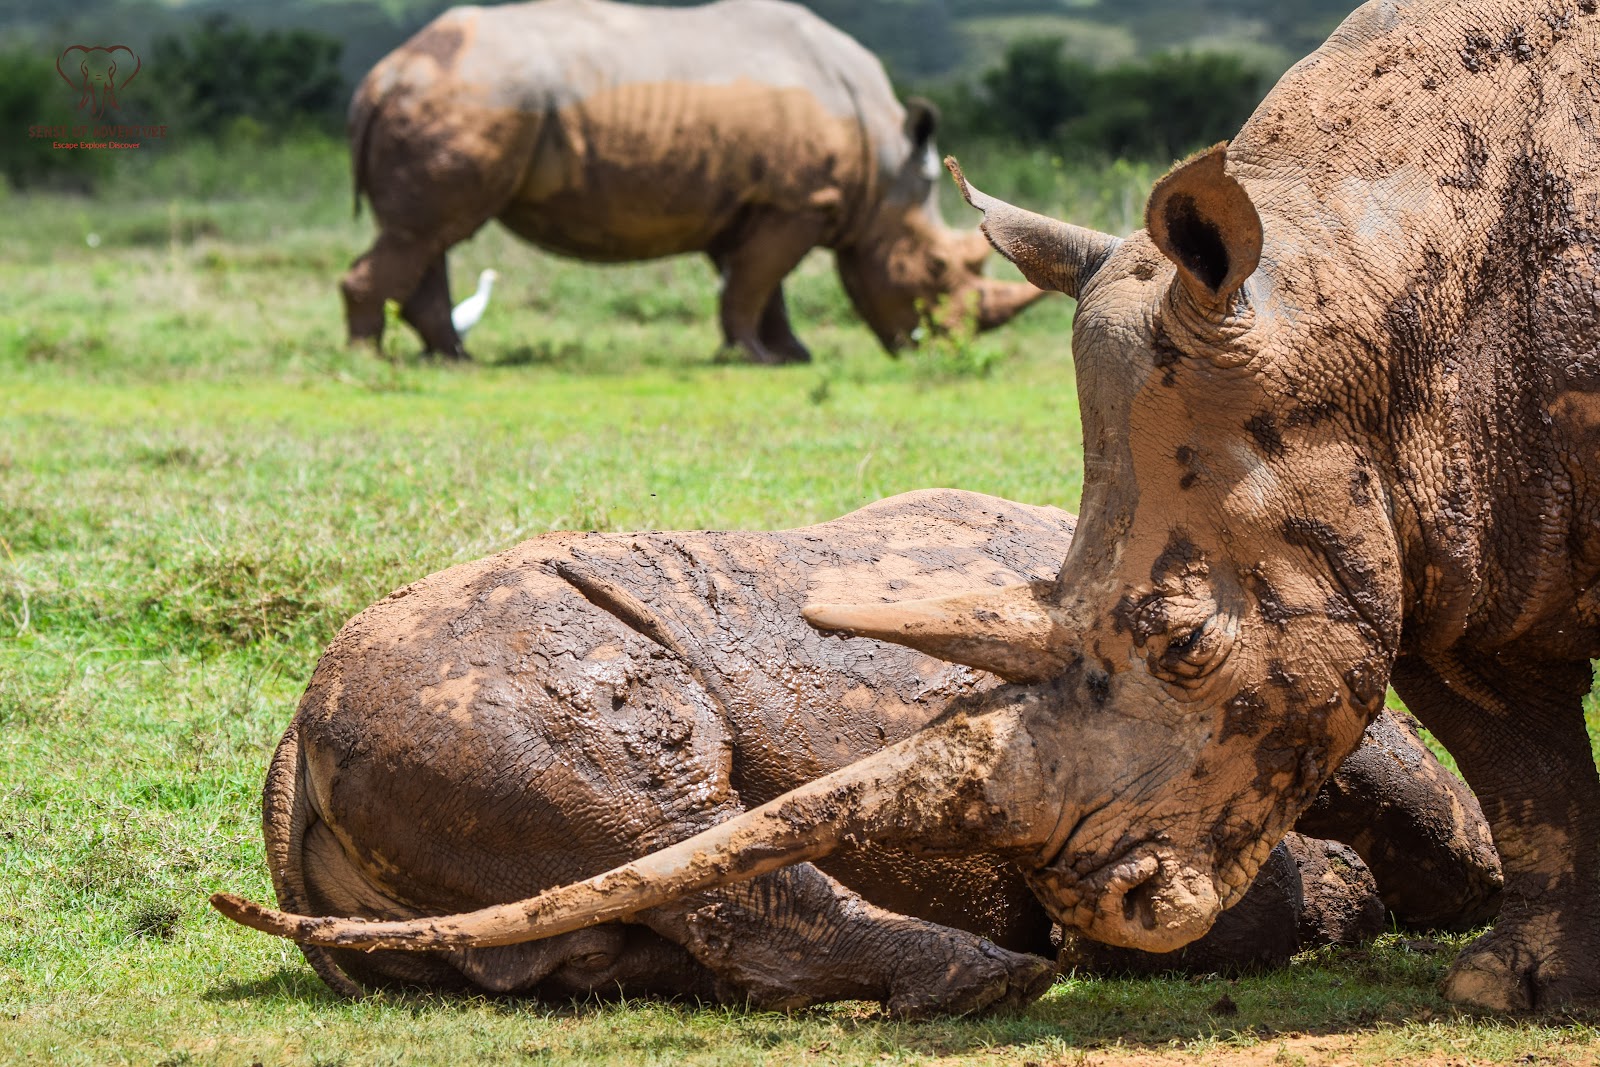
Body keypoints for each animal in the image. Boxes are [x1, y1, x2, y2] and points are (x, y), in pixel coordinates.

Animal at [341, 0, 1045, 363]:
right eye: (934, 272)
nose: (945, 348)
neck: (886, 172)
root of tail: (382, 76)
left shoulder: (758, 203)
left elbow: (761, 286)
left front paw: (789, 355)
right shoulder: (794, 203)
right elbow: (755, 282)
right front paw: (755, 359)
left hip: (454, 94)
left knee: (426, 234)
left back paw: (448, 357)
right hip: (473, 96)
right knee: (427, 232)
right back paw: (370, 359)